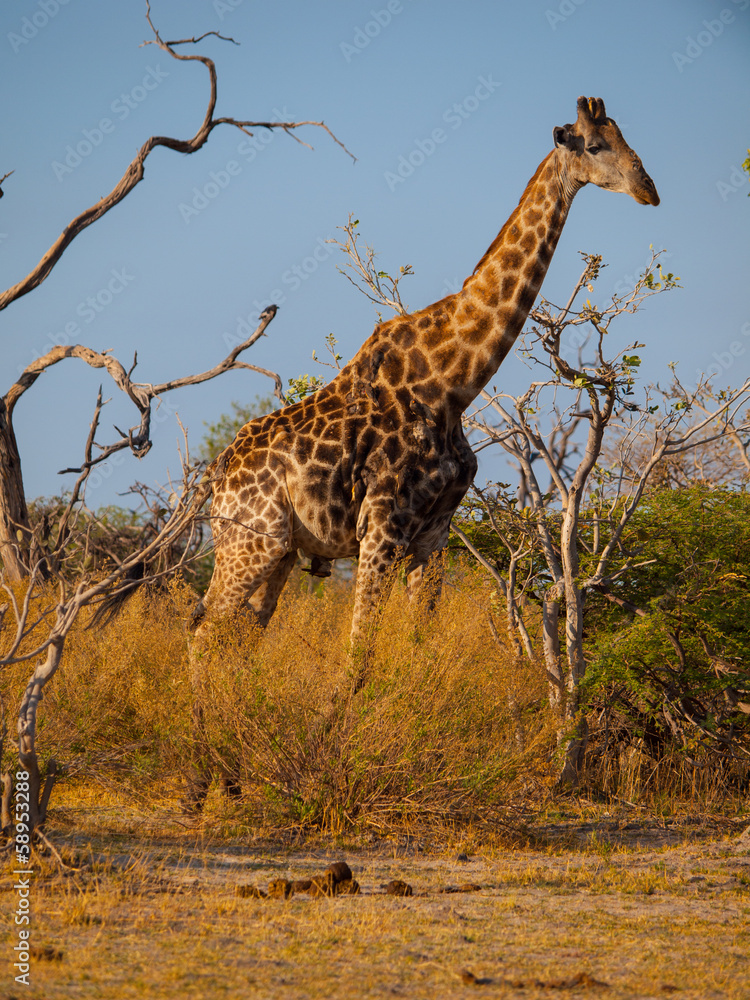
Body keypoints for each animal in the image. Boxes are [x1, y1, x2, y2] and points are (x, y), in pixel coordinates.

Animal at [193, 97, 658, 674]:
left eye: (624, 137)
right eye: (594, 145)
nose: (649, 188)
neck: (453, 385)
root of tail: (216, 475)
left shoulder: (432, 536)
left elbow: (416, 648)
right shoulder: (382, 528)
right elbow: (358, 656)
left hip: (278, 550)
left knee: (236, 639)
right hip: (248, 541)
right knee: (202, 635)